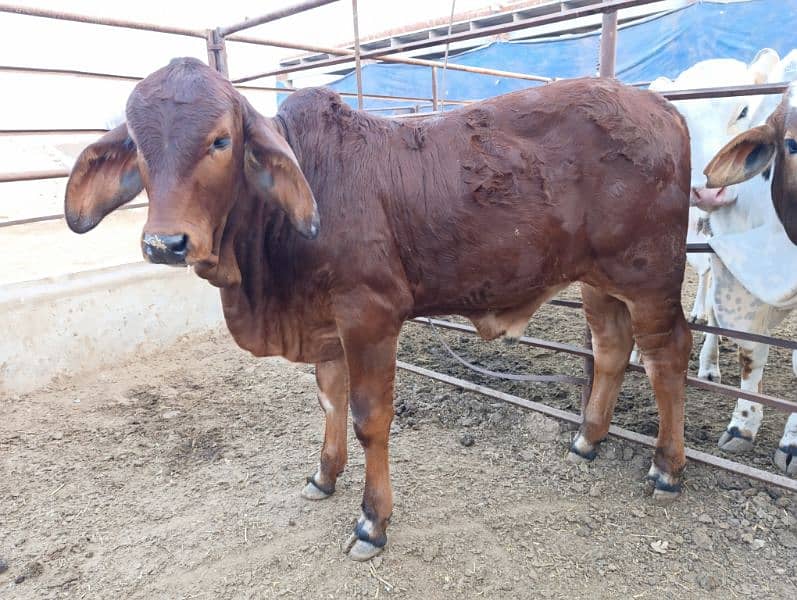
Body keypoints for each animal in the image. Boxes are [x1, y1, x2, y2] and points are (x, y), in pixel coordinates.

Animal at [65, 58, 692, 560]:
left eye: (221, 140)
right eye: (139, 146)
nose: (165, 243)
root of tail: (660, 105)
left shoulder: (370, 316)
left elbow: (370, 418)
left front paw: (372, 521)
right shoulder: (325, 325)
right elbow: (329, 400)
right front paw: (324, 474)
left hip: (650, 277)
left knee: (667, 357)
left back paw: (667, 468)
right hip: (599, 281)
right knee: (611, 348)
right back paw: (588, 438)